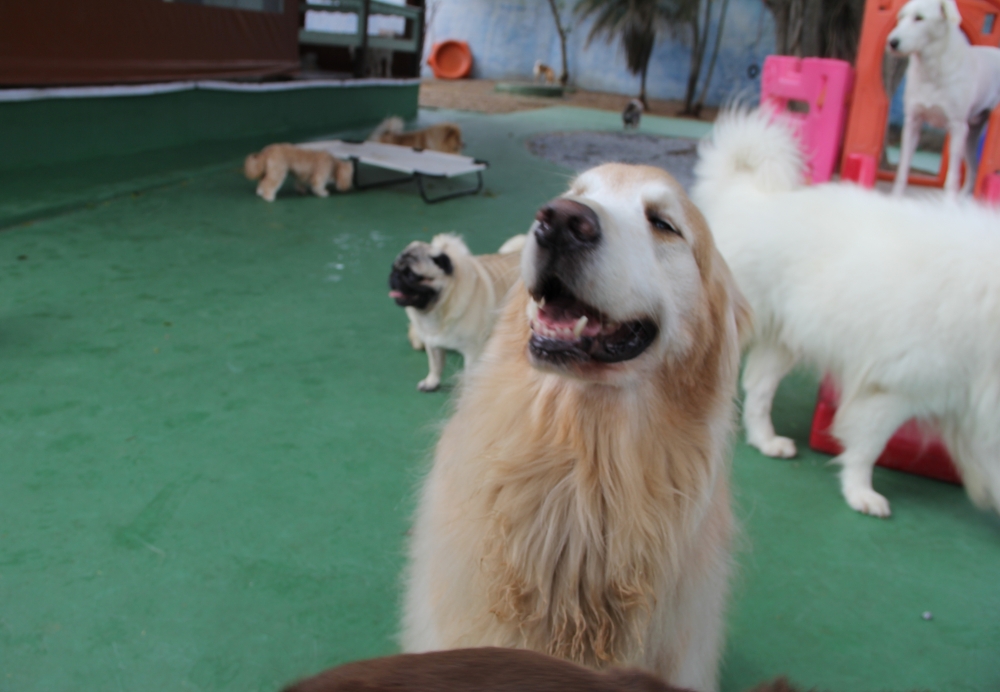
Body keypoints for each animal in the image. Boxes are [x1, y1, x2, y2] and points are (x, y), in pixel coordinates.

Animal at [386, 235, 524, 392]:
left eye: (411, 275)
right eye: (393, 268)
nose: (394, 276)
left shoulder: (472, 351)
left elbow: (469, 374)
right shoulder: (432, 344)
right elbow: (435, 365)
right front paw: (431, 382)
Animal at [700, 108, 1000, 516]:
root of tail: (746, 198)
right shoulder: (891, 389)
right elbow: (867, 446)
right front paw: (860, 493)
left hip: (785, 341)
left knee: (758, 389)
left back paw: (767, 441)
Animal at [888, 0, 1000, 197]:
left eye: (919, 18)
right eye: (901, 17)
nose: (892, 42)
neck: (931, 70)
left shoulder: (957, 128)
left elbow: (952, 176)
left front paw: (948, 202)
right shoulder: (912, 123)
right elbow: (902, 169)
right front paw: (895, 198)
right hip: (970, 136)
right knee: (973, 168)